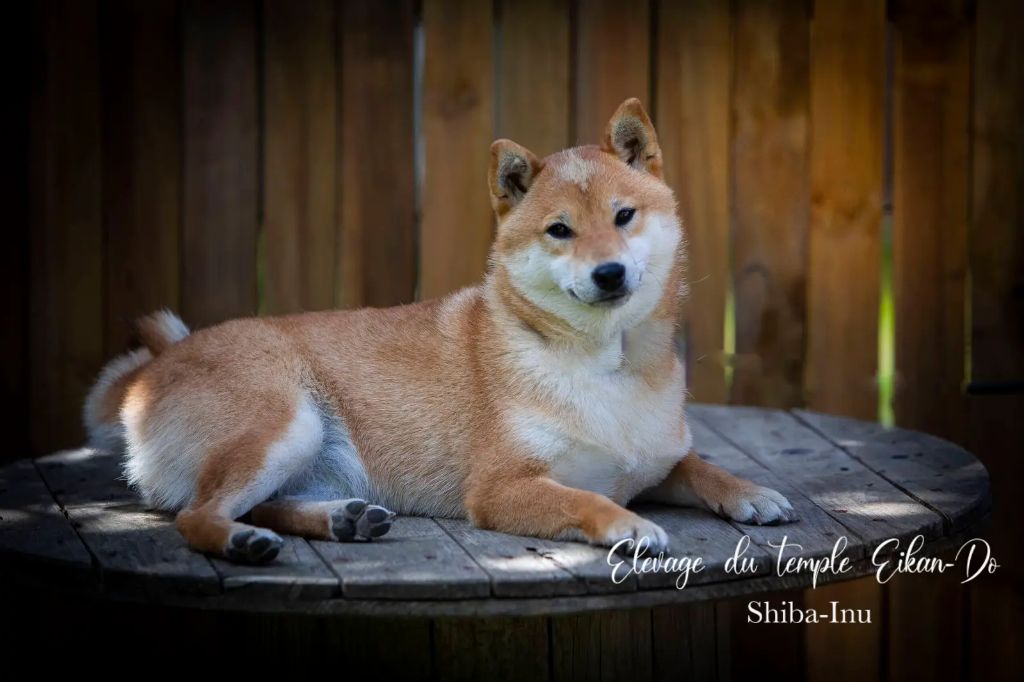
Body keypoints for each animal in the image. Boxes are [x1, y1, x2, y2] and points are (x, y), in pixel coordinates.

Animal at [83, 96, 794, 561]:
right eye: (560, 230)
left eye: (624, 215)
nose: (610, 272)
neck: (608, 367)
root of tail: (157, 364)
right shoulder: (500, 488)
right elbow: (587, 501)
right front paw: (628, 524)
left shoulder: (655, 458)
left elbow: (700, 466)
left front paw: (751, 491)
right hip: (286, 421)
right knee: (198, 515)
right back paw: (241, 541)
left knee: (260, 502)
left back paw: (338, 521)